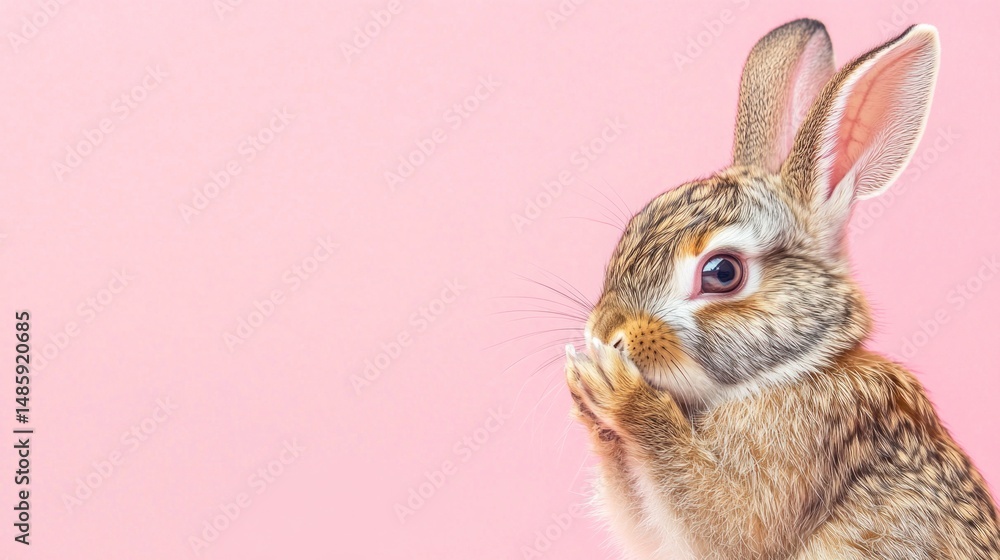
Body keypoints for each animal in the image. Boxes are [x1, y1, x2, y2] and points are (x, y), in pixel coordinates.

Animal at [564, 18, 1000, 560]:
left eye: (722, 273)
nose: (607, 334)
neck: (788, 372)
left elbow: (725, 521)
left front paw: (612, 384)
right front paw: (587, 384)